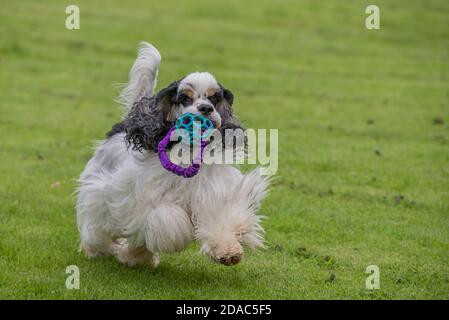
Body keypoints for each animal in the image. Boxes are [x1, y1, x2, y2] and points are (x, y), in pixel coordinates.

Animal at [75, 42, 268, 268]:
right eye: (184, 97)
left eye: (215, 97)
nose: (206, 108)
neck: (188, 151)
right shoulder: (148, 202)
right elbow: (168, 219)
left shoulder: (214, 193)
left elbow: (221, 218)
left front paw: (228, 251)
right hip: (99, 195)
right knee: (98, 230)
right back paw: (99, 250)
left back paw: (136, 257)